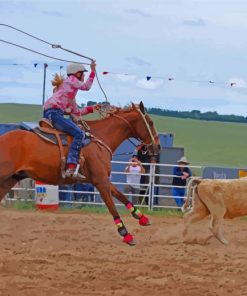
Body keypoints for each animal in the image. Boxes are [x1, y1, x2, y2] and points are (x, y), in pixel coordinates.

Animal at [0, 102, 160, 245]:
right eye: (151, 123)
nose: (157, 147)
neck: (100, 137)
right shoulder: (100, 181)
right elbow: (111, 205)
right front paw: (125, 234)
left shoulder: (100, 179)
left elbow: (120, 195)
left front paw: (141, 217)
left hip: (10, 180)